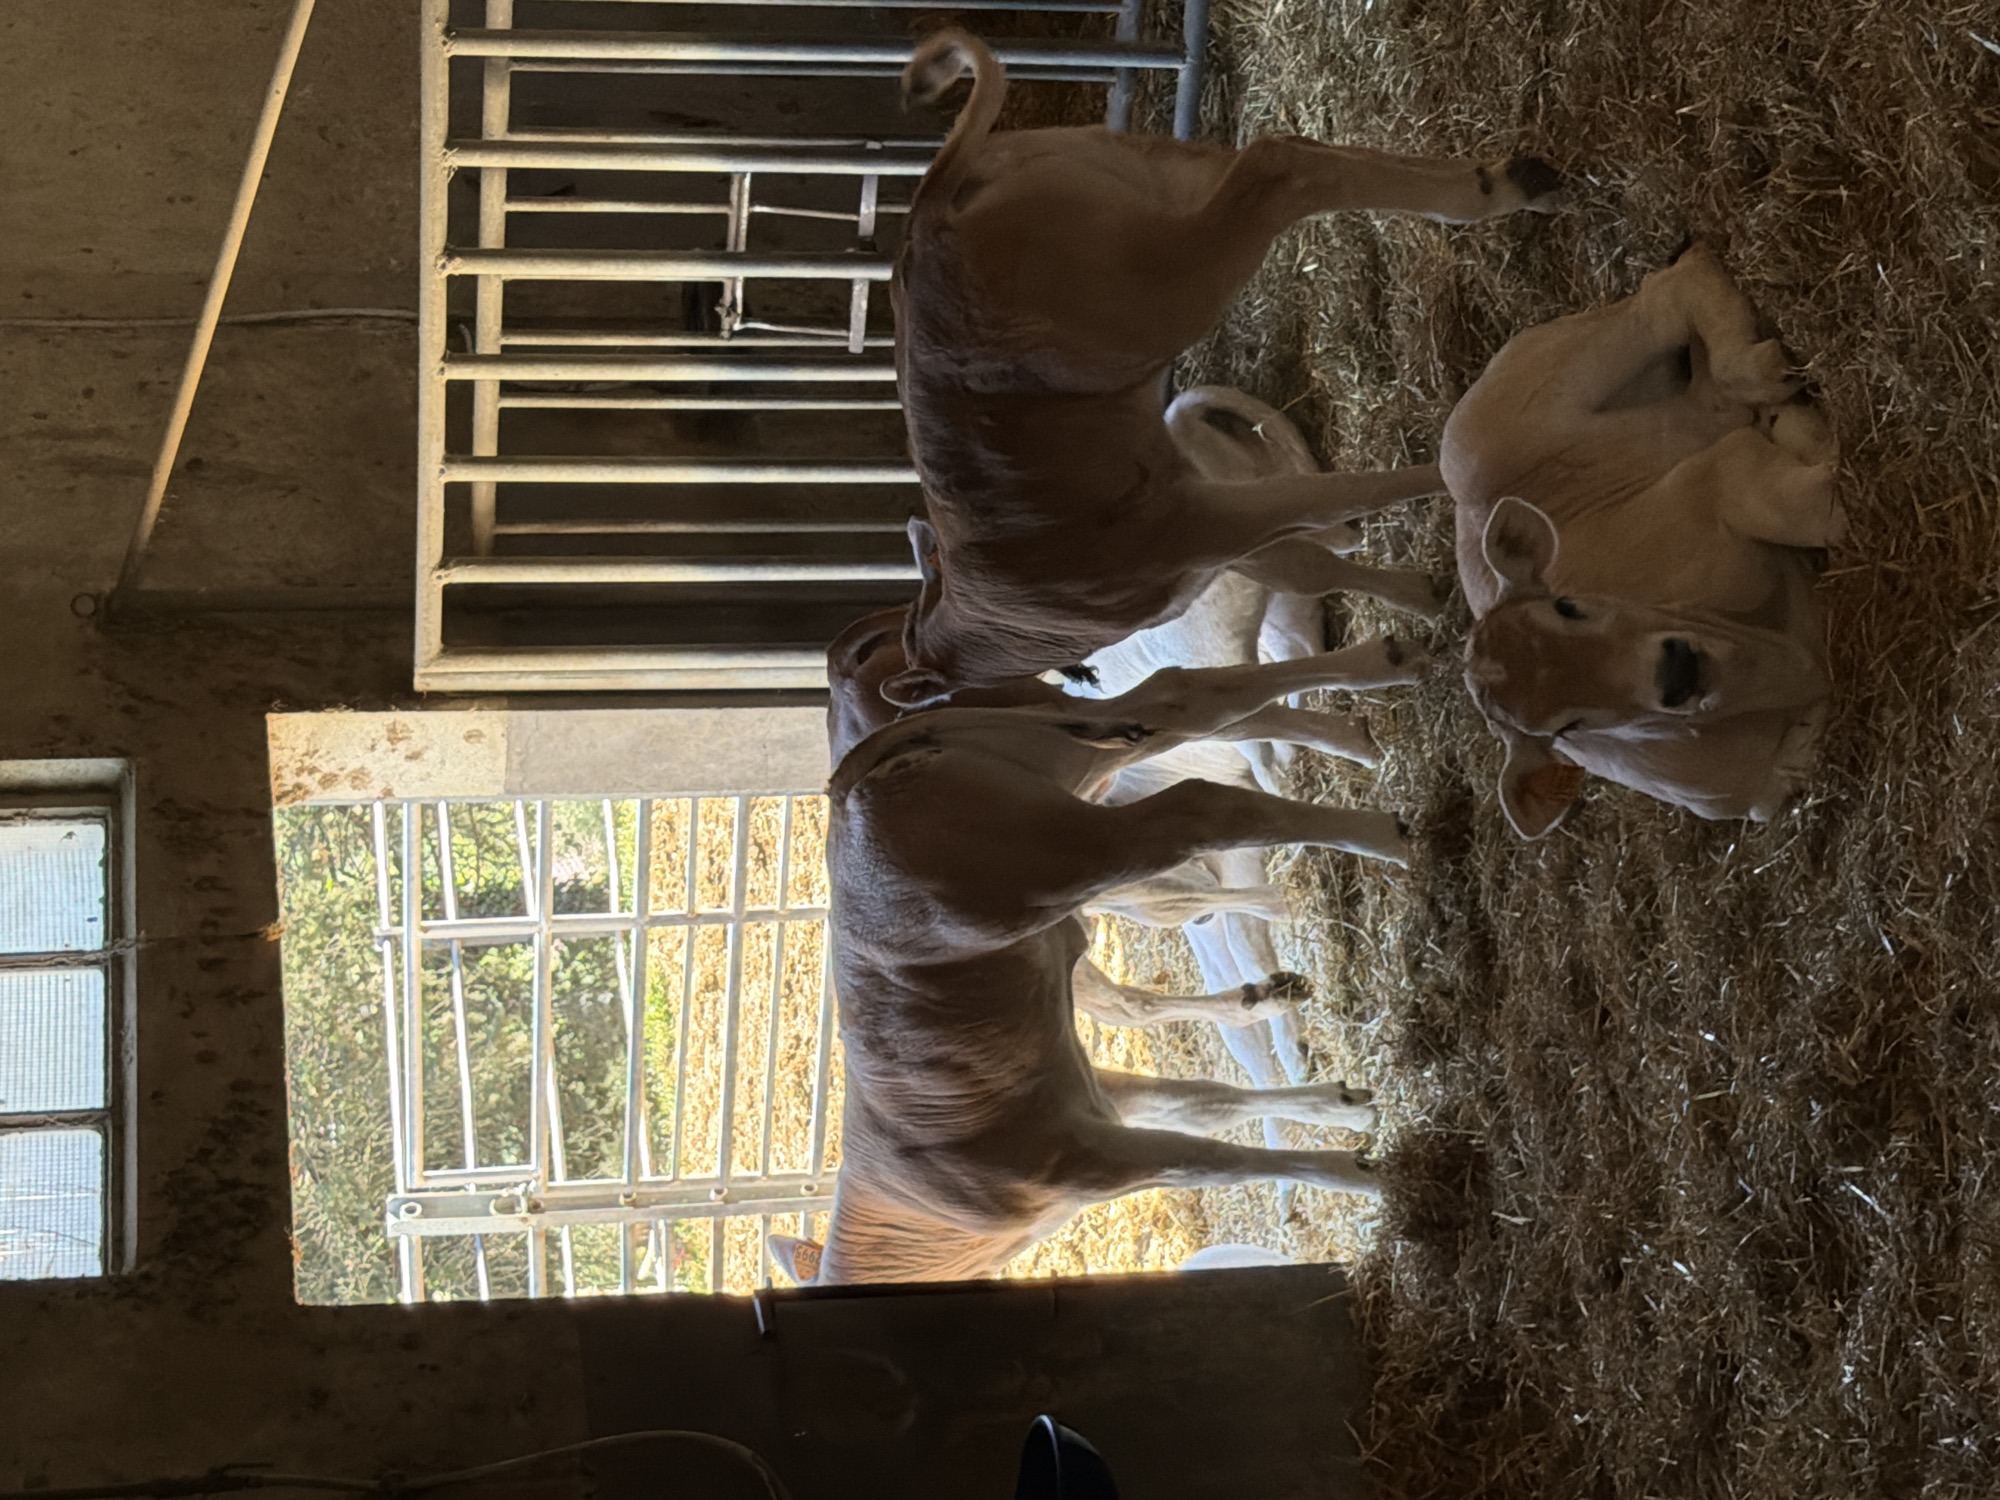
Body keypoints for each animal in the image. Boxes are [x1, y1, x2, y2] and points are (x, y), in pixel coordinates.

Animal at [789, 653, 1414, 1284]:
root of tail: (849, 781)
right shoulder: (1097, 1093)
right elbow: (1208, 1104)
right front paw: (1345, 1108)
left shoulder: (1081, 1162)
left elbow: (1209, 1162)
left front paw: (1364, 1174)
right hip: (1068, 760)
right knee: (1180, 701)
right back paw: (1386, 676)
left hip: (1070, 849)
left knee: (1200, 806)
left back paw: (1390, 833)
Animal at [871, 27, 1560, 711]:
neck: (997, 619)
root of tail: (931, 204)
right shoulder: (1214, 537)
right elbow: (1308, 554)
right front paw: (1418, 593)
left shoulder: (1196, 529)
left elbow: (1331, 497)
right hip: (1157, 177)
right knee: (1284, 151)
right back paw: (1512, 176)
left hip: (1161, 289)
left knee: (1278, 162)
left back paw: (1506, 189)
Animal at [1444, 243, 1842, 837]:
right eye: (1568, 730)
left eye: (1568, 604)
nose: (1676, 671)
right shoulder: (1757, 792)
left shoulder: (1717, 482)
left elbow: (1813, 506)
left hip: (1504, 414)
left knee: (1667, 296)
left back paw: (1758, 367)